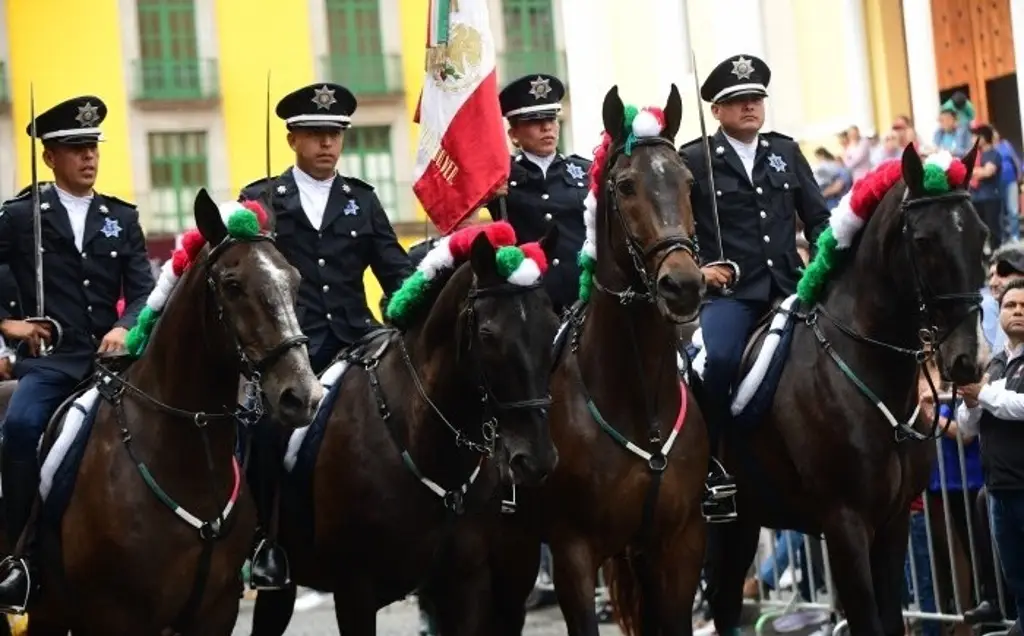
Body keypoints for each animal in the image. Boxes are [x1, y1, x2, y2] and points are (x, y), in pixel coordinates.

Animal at [419, 85, 708, 634]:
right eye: (626, 185)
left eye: (688, 181)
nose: (682, 285)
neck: (639, 401)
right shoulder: (573, 552)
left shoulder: (675, 547)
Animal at [704, 143, 983, 634]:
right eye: (924, 240)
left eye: (981, 233)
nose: (967, 359)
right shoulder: (845, 525)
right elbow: (866, 620)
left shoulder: (893, 522)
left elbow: (891, 618)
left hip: (741, 522)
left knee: (724, 601)